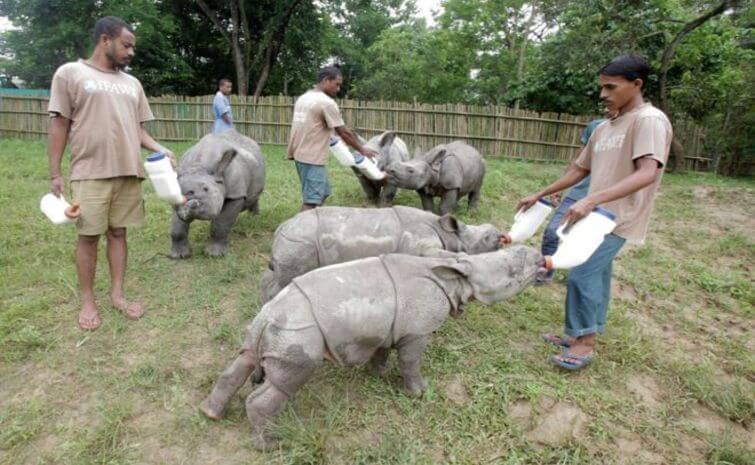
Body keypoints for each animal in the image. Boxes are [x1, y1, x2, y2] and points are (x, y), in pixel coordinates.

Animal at [201, 245, 544, 448]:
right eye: (512, 274)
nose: (539, 255)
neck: (457, 276)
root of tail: (267, 317)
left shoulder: (387, 324)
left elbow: (382, 349)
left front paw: (378, 373)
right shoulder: (417, 331)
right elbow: (411, 363)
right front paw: (420, 393)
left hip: (270, 325)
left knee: (245, 358)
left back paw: (210, 414)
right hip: (297, 332)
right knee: (288, 382)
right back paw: (270, 445)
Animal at [260, 205, 508, 302]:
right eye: (486, 239)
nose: (500, 236)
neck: (451, 235)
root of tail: (280, 229)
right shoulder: (420, 245)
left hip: (294, 242)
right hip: (299, 242)